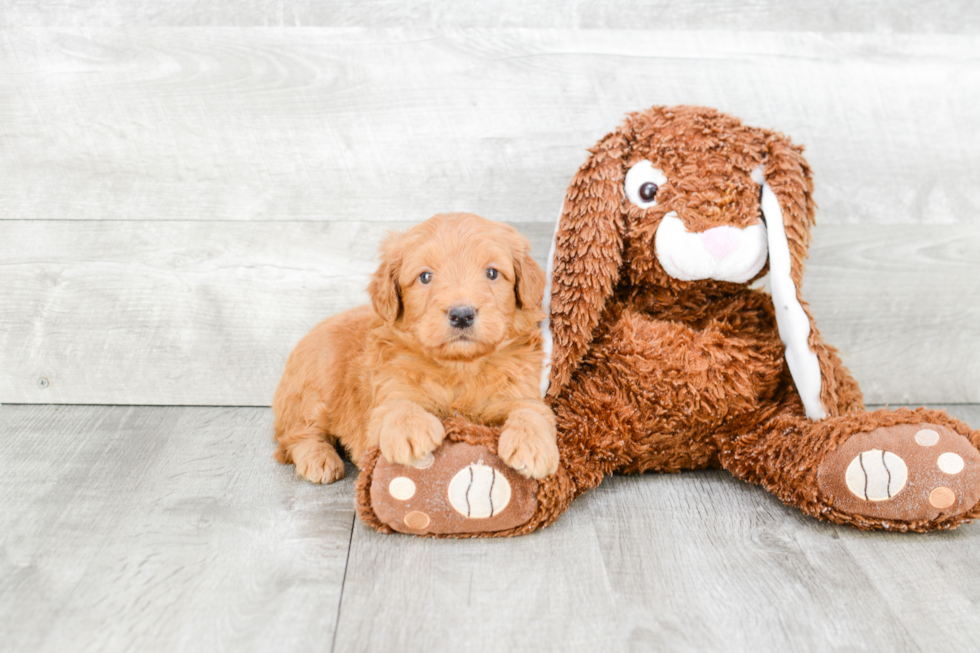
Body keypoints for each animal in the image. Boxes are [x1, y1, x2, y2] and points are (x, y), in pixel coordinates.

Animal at [272, 211, 560, 482]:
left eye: (492, 273)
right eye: (425, 276)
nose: (462, 314)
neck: (459, 367)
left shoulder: (518, 389)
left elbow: (532, 410)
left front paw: (531, 445)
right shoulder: (384, 395)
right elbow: (398, 402)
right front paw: (409, 429)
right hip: (315, 391)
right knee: (296, 435)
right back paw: (319, 459)